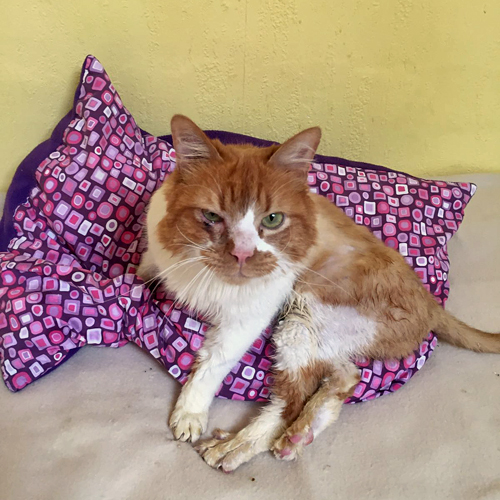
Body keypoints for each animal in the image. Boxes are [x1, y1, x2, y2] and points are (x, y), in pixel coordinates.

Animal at [138, 115, 500, 473]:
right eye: (211, 216)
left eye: (273, 219)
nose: (242, 254)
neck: (204, 272)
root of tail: (432, 303)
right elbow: (144, 267)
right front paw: (136, 275)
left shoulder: (249, 317)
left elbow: (212, 363)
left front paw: (189, 413)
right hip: (325, 332)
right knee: (346, 375)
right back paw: (298, 436)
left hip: (304, 311)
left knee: (292, 398)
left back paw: (237, 446)